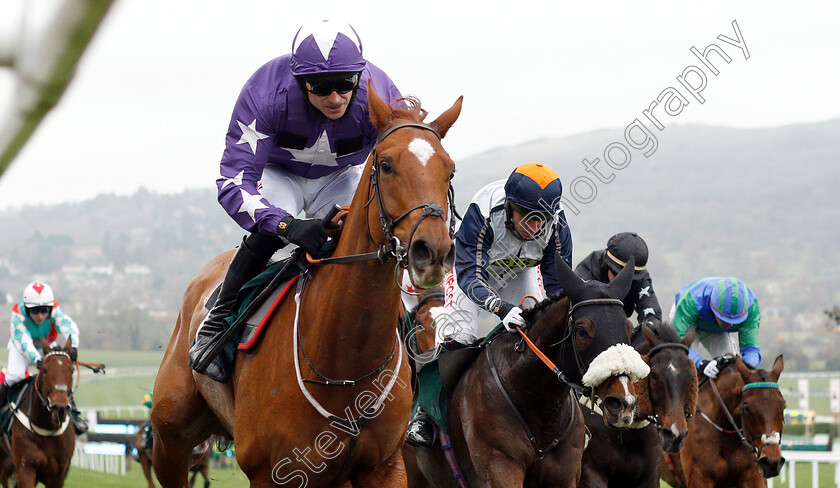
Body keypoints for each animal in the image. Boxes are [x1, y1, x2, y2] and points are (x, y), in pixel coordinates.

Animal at [9, 340, 75, 488]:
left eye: (72, 370)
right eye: (44, 370)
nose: (60, 407)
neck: (47, 427)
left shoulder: (58, 476)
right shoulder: (26, 467)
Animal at [154, 85, 462, 488]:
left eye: (449, 170)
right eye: (386, 165)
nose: (433, 250)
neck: (344, 364)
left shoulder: (385, 468)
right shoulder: (270, 473)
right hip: (170, 440)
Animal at [580, 322, 700, 486]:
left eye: (692, 376)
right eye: (654, 374)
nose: (675, 435)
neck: (628, 433)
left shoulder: (649, 476)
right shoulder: (591, 470)